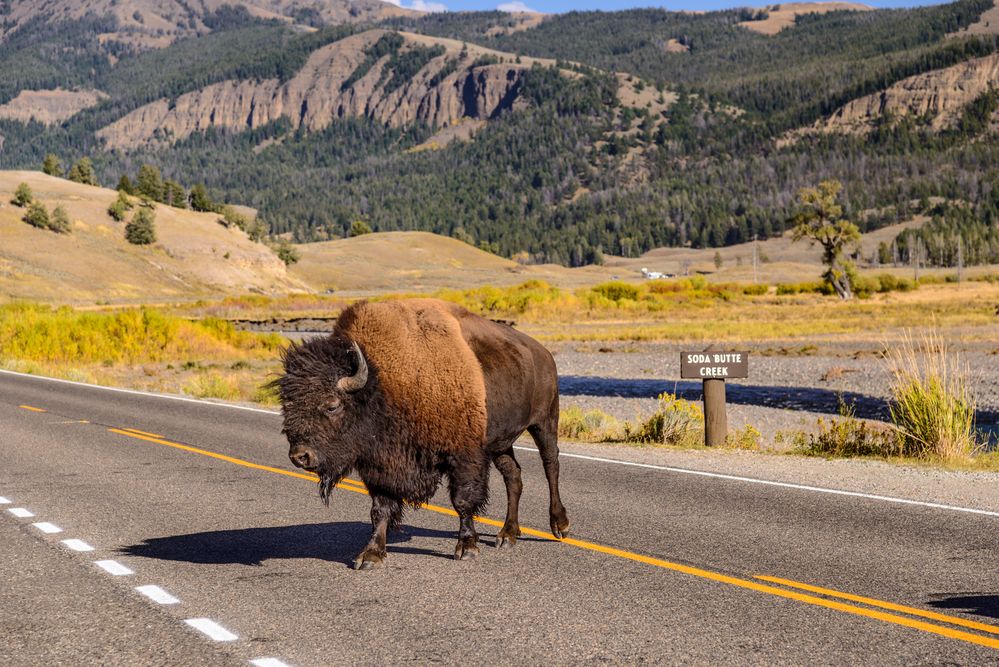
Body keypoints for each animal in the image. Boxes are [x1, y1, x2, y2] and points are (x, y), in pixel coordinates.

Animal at [276, 298, 572, 568]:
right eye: (286, 404)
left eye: (332, 405)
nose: (300, 456)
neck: (383, 382)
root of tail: (544, 353)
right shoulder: (381, 466)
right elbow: (380, 509)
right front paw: (371, 555)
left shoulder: (464, 456)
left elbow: (463, 500)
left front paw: (467, 548)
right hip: (501, 443)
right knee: (514, 476)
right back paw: (507, 534)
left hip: (544, 422)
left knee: (551, 464)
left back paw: (560, 525)